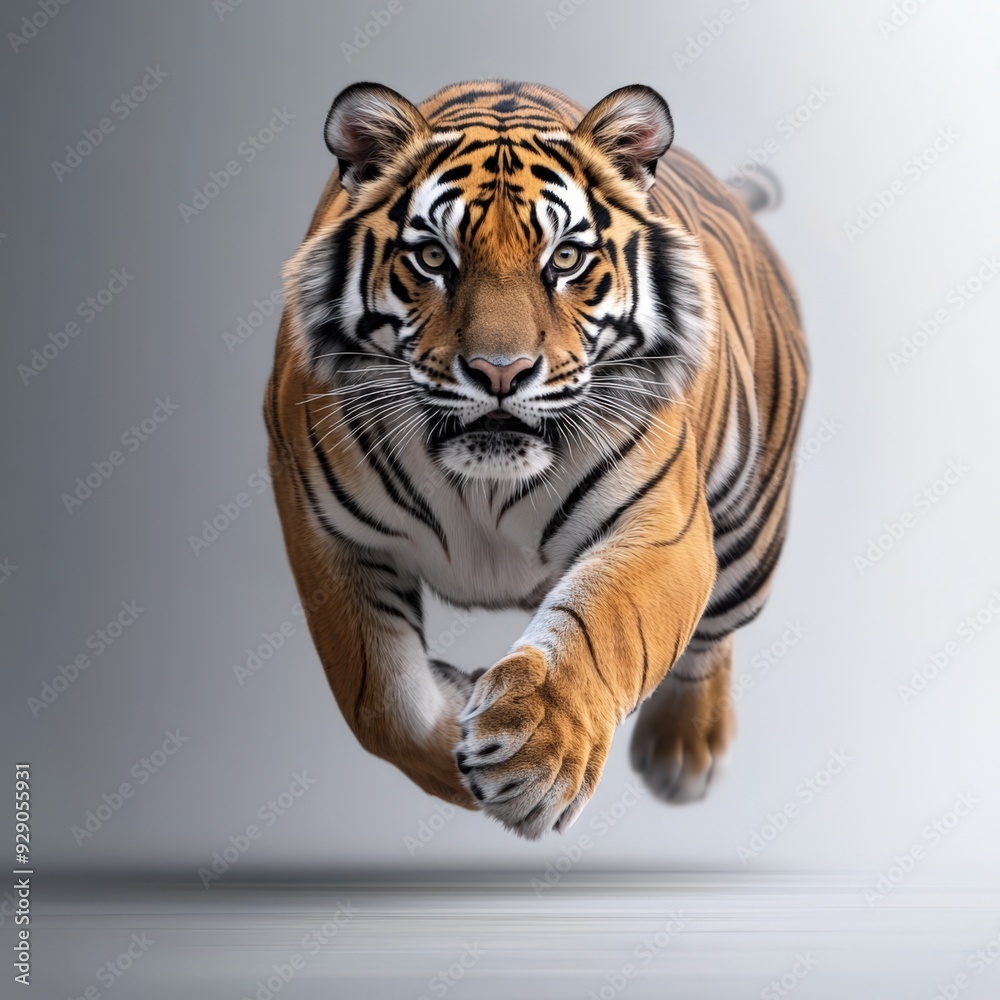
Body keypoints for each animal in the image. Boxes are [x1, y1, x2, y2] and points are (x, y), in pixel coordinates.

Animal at [264, 79, 808, 839]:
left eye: (566, 260)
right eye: (435, 259)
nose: (502, 372)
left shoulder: (661, 525)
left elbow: (602, 624)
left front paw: (536, 756)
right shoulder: (320, 528)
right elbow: (381, 700)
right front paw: (458, 739)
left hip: (751, 529)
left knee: (714, 634)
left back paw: (682, 749)